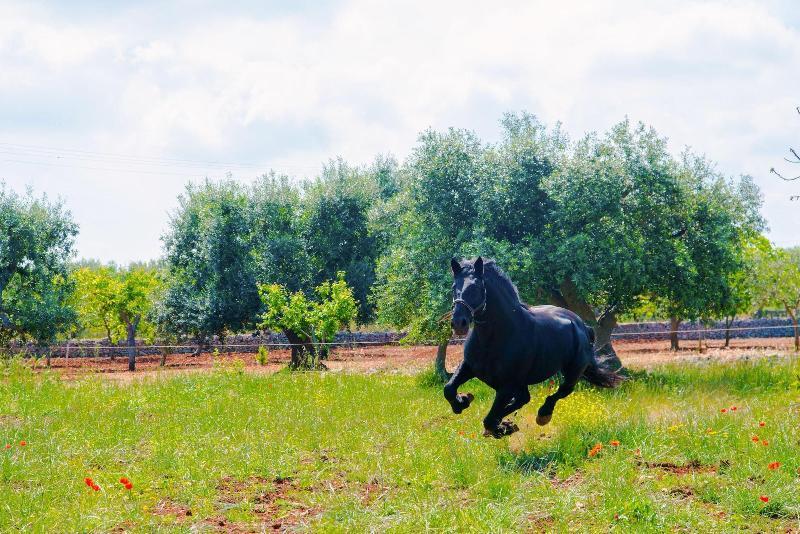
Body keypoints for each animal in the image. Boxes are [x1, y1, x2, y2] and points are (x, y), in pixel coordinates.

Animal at [446, 258, 620, 440]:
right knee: (524, 398)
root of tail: (582, 325)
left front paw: (503, 428)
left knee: (562, 391)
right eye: (453, 286)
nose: (458, 323)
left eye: (476, 287)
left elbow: (489, 419)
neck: (495, 337)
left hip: (573, 372)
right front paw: (462, 401)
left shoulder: (507, 386)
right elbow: (448, 389)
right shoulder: (469, 367)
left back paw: (543, 415)